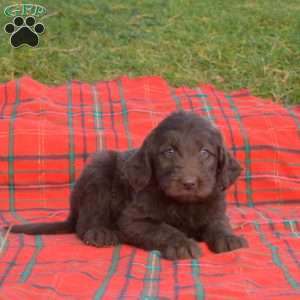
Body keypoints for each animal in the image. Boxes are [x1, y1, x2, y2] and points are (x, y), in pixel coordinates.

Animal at [7, 110, 248, 260]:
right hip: (99, 168)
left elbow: (218, 224)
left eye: (205, 152)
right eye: (169, 152)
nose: (189, 183)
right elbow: (164, 228)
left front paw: (229, 238)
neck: (183, 203)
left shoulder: (216, 207)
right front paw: (182, 244)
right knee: (84, 223)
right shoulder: (133, 220)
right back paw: (101, 234)